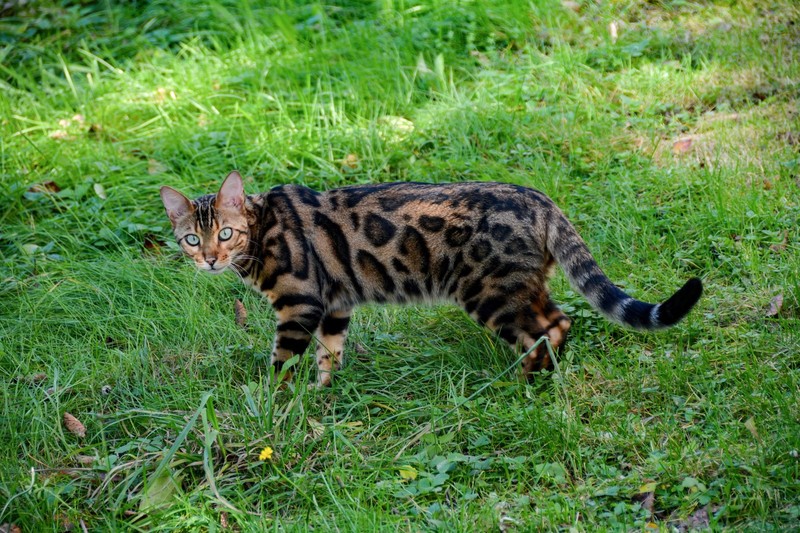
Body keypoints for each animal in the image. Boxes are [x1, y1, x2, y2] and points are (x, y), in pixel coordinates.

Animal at [161, 172, 700, 384]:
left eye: (225, 233)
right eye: (191, 239)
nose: (209, 260)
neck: (261, 232)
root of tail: (538, 198)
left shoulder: (299, 304)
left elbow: (281, 363)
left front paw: (275, 405)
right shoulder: (335, 305)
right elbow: (329, 354)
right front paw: (323, 393)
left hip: (489, 292)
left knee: (546, 328)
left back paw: (523, 382)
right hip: (521, 286)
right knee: (559, 320)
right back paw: (541, 373)